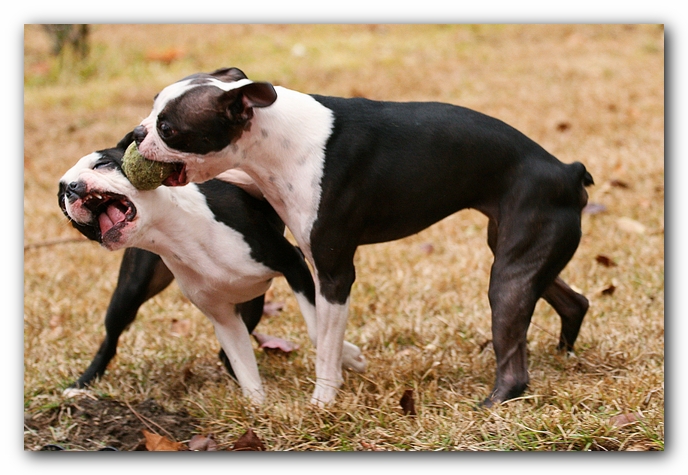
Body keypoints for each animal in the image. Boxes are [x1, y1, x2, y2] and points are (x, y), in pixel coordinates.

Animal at [59, 132, 368, 404]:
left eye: (102, 164)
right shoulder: (222, 315)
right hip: (130, 293)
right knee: (110, 340)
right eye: (61, 194)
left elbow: (318, 329)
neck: (175, 232)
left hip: (252, 302)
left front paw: (347, 356)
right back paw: (82, 384)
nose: (72, 188)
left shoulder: (293, 264)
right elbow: (245, 364)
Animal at [133, 67, 592, 408]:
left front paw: (322, 401)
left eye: (168, 128)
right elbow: (319, 330)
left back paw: (494, 402)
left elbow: (325, 344)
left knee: (514, 362)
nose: (137, 133)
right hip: (520, 252)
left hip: (509, 278)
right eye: (151, 110)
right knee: (574, 300)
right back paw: (564, 353)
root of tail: (566, 170)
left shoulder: (334, 273)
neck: (277, 139)